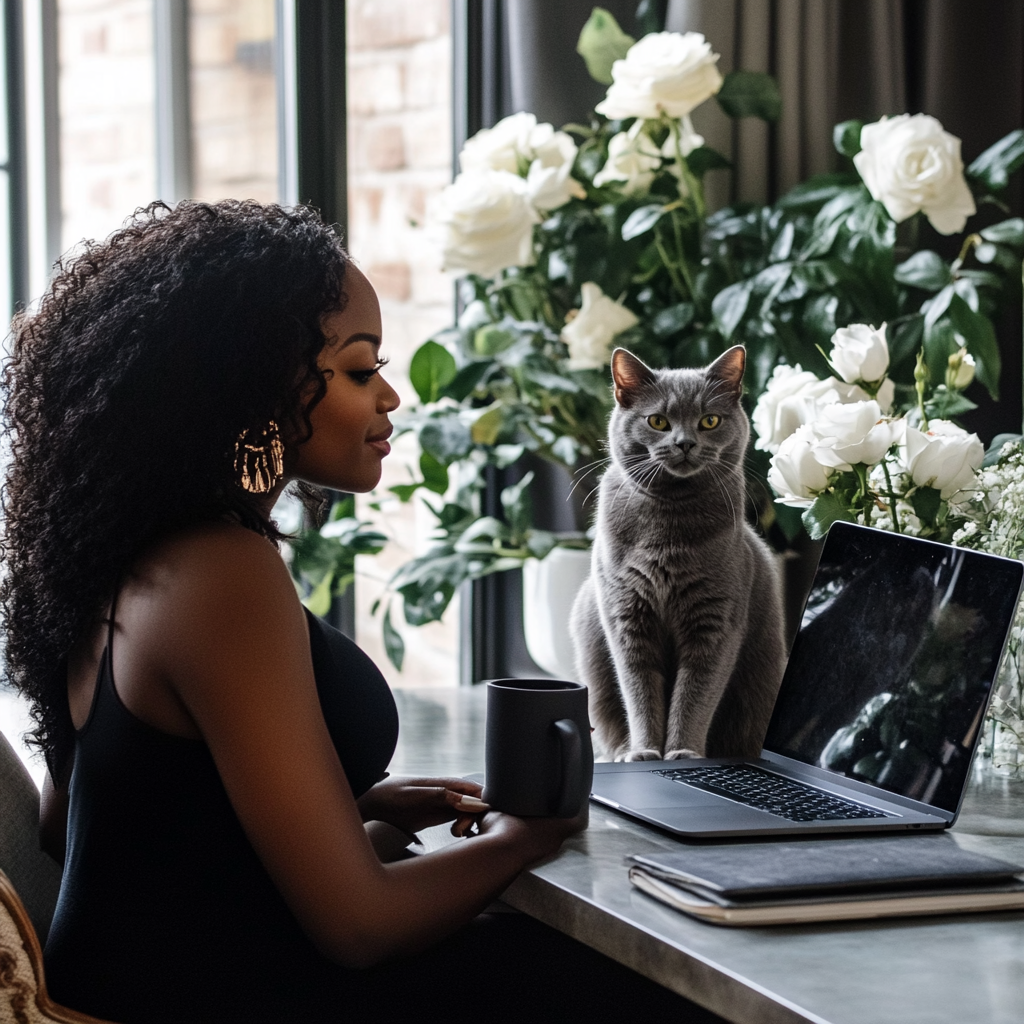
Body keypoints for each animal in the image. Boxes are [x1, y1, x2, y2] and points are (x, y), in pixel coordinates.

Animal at [569, 344, 782, 761]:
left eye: (710, 421)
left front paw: (683, 753)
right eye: (658, 421)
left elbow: (695, 696)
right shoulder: (626, 617)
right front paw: (644, 753)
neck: (668, 527)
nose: (685, 443)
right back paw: (620, 752)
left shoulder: (716, 623)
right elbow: (639, 692)